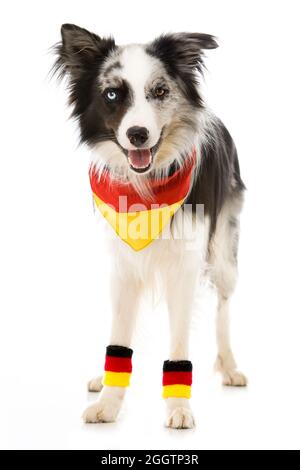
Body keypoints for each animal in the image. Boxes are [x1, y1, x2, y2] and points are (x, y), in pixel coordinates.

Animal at [52, 25, 247, 430]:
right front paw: (109, 402)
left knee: (223, 307)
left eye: (159, 91)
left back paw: (230, 366)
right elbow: (119, 335)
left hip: (225, 253)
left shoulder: (185, 266)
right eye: (112, 94)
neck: (145, 188)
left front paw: (179, 407)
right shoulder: (122, 266)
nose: (138, 134)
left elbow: (179, 342)